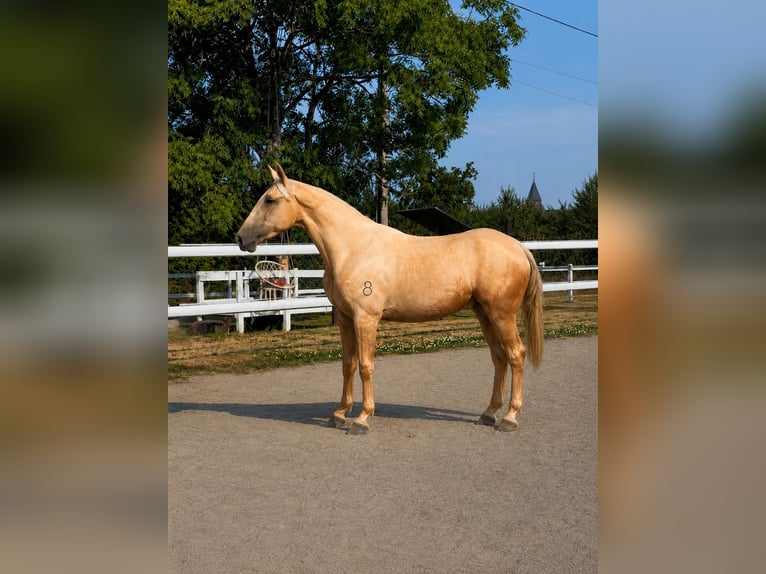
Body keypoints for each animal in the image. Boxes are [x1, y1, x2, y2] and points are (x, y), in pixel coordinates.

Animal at [237, 164, 543, 434]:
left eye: (270, 200)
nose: (241, 238)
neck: (354, 247)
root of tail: (518, 248)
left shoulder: (366, 318)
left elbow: (365, 366)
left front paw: (362, 419)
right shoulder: (346, 319)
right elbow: (347, 364)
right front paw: (339, 414)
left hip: (501, 314)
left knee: (516, 354)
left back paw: (510, 417)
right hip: (484, 313)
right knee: (499, 357)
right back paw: (488, 414)